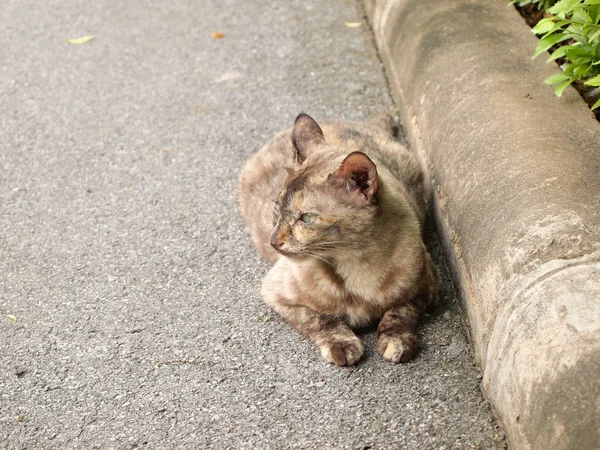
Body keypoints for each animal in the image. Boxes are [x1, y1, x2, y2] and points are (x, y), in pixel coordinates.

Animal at [237, 112, 438, 366]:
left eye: (307, 218)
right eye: (277, 208)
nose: (274, 241)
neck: (356, 266)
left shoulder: (428, 284)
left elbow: (401, 312)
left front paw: (397, 340)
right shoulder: (276, 294)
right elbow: (320, 319)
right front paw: (342, 345)